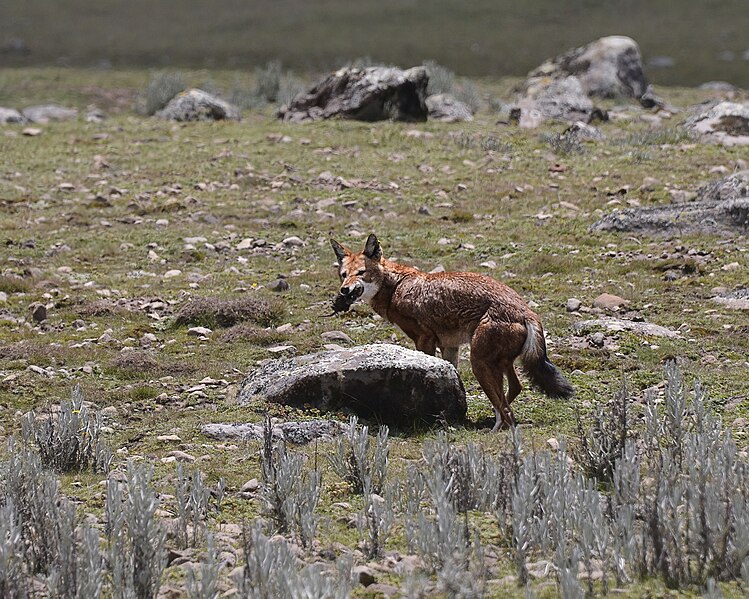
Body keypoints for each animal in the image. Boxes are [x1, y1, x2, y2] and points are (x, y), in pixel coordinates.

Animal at [328, 234, 572, 432]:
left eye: (361, 273)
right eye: (343, 275)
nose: (344, 290)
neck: (396, 287)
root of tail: (527, 312)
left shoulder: (424, 340)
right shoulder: (449, 346)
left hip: (479, 363)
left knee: (506, 413)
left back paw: (493, 429)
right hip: (497, 364)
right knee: (514, 390)